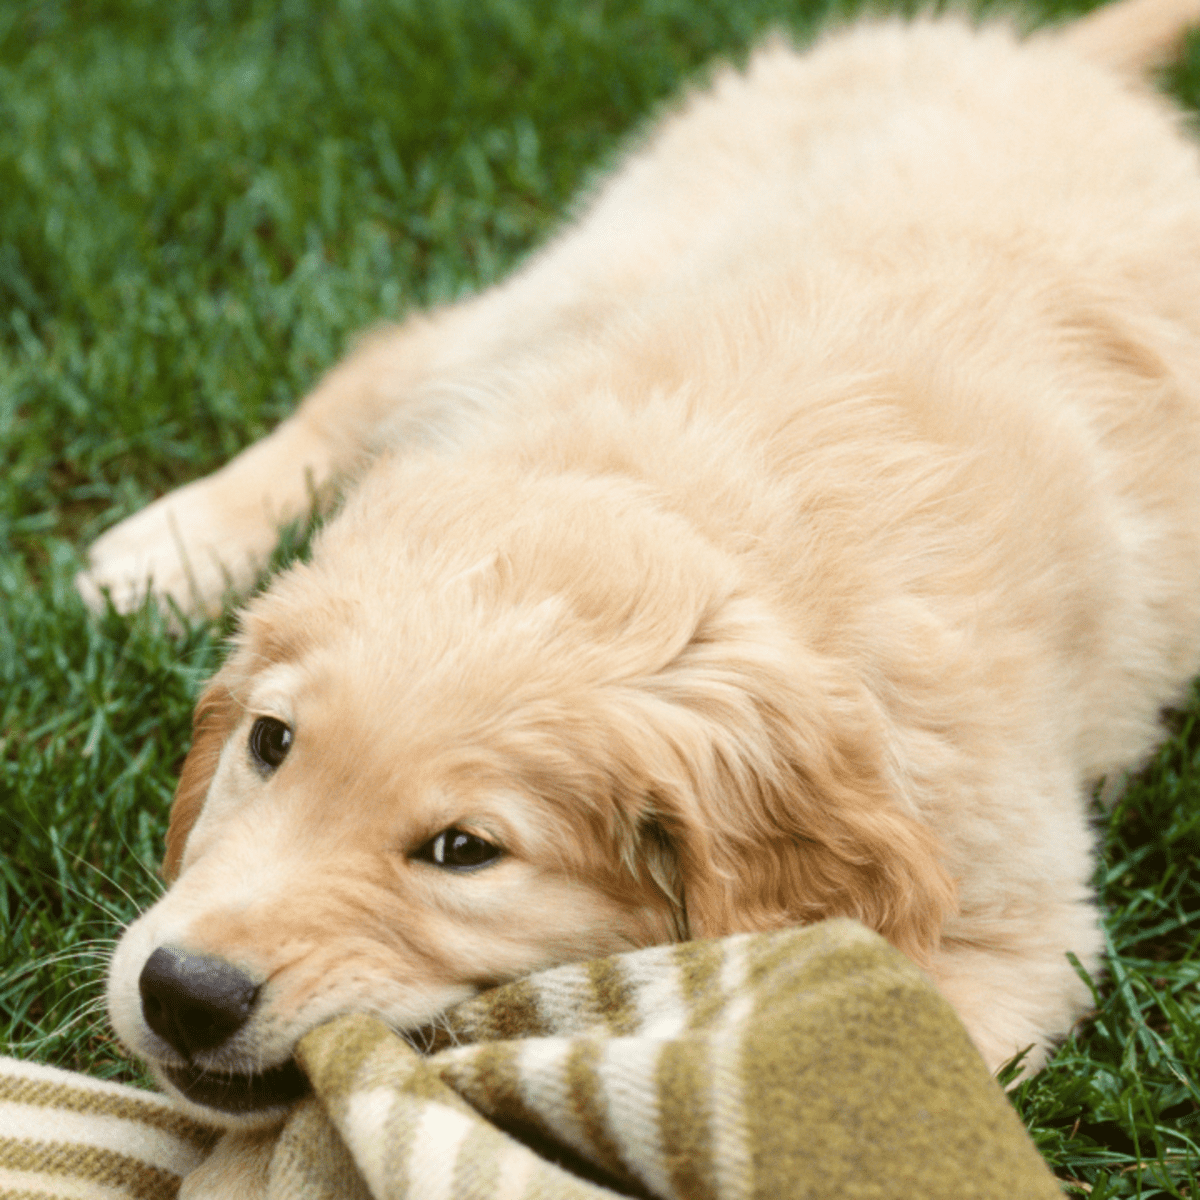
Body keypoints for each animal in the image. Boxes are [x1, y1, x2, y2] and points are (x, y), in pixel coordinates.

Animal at [96, 0, 1200, 1128]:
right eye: (269, 743)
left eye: (464, 851)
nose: (183, 992)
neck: (696, 510)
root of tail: (1050, 62)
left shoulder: (1009, 937)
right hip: (607, 252)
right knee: (394, 355)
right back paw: (172, 549)